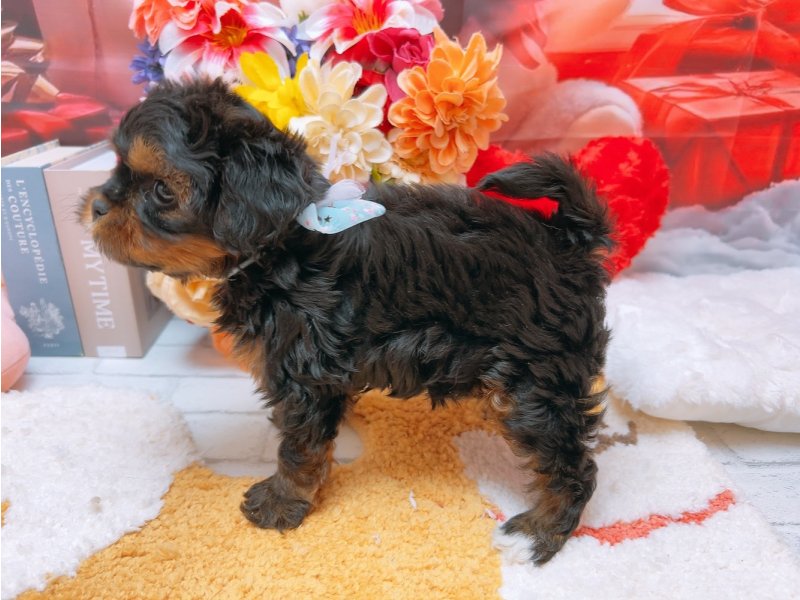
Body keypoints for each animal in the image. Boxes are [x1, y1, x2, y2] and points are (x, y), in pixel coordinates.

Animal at [82, 78, 612, 564]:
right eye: (117, 166)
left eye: (161, 191)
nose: (97, 205)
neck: (281, 247)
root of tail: (566, 240)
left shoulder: (302, 376)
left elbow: (299, 448)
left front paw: (280, 503)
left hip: (536, 377)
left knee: (572, 464)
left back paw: (537, 534)